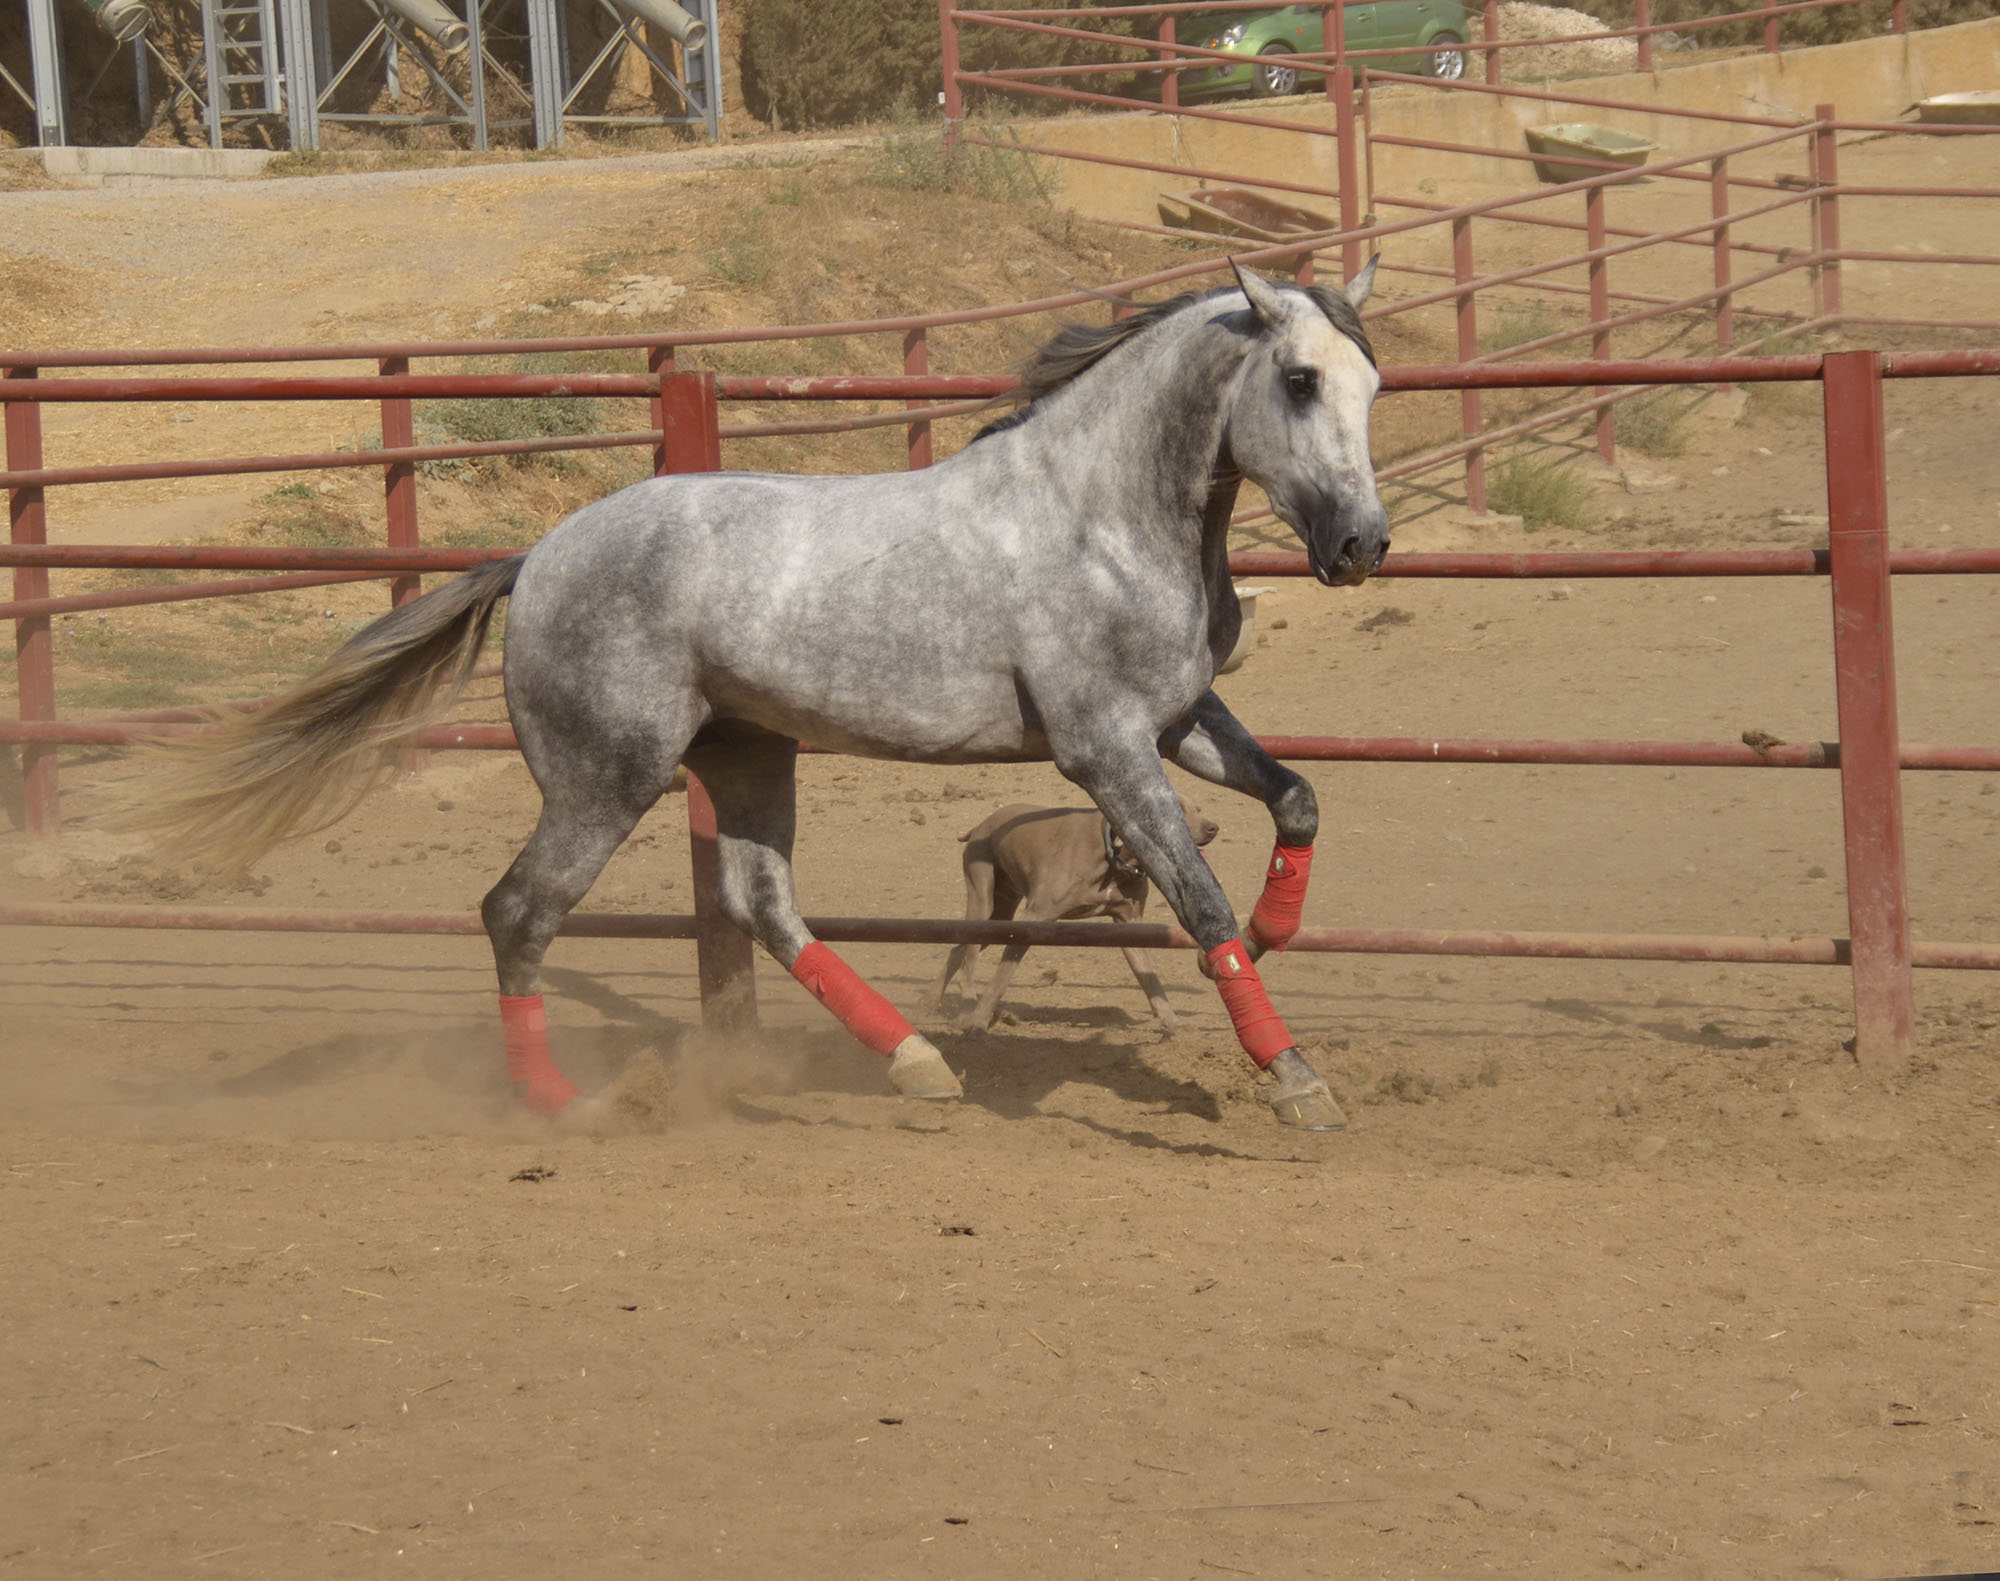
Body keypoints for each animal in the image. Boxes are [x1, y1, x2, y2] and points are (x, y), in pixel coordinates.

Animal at [924, 800, 1216, 1032]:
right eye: (1175, 808)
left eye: (1197, 809)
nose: (1213, 828)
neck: (1113, 858)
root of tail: (981, 824)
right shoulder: (1034, 919)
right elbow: (1001, 979)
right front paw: (979, 1021)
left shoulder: (1130, 925)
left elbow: (1151, 980)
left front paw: (1173, 1023)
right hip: (983, 899)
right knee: (968, 956)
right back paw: (965, 1006)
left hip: (1001, 916)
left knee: (956, 950)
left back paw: (928, 1004)